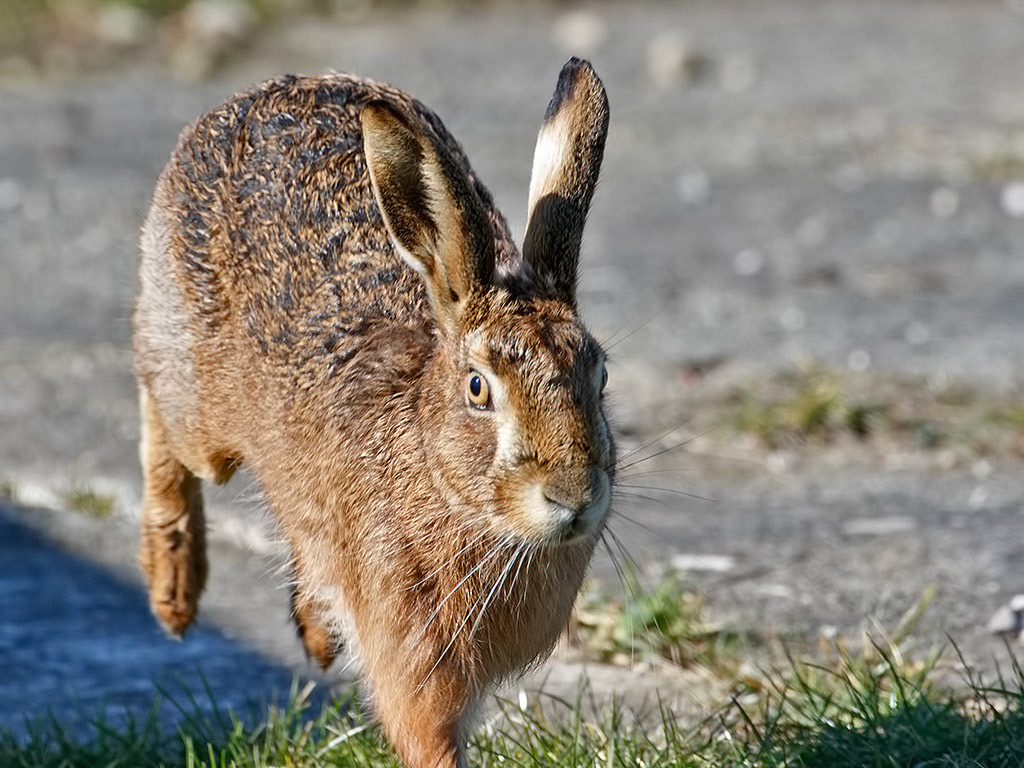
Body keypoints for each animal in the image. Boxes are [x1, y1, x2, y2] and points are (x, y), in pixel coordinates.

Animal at [132, 57, 613, 768]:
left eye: (600, 376)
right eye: (478, 389)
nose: (573, 495)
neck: (449, 491)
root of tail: (245, 99)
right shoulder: (412, 669)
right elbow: (427, 742)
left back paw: (315, 631)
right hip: (195, 393)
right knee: (158, 404)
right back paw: (173, 593)